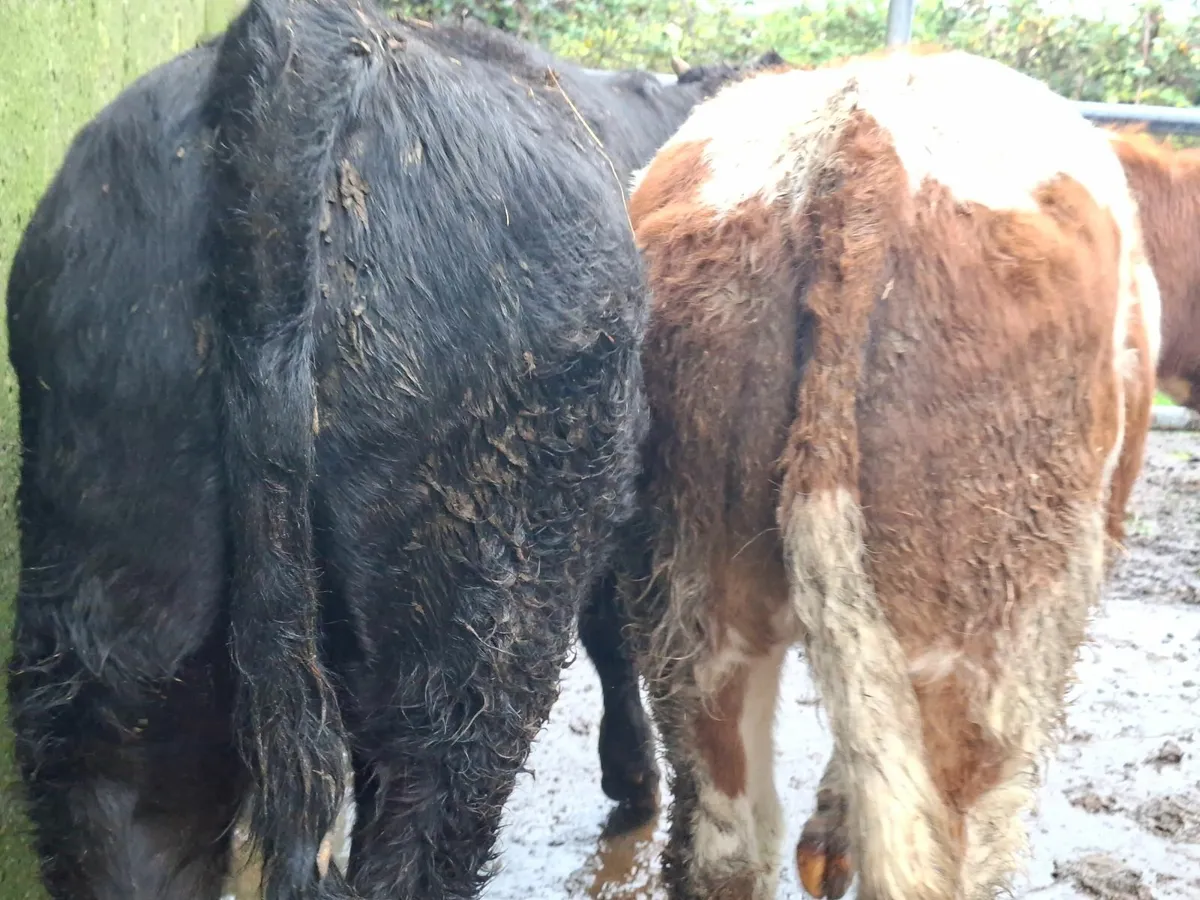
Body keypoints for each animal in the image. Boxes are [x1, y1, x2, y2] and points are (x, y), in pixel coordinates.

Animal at [0, 0, 754, 894]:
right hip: (475, 624)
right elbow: (617, 633)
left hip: (117, 612)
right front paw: (635, 780)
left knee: (123, 802)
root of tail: (300, 43)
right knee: (422, 826)